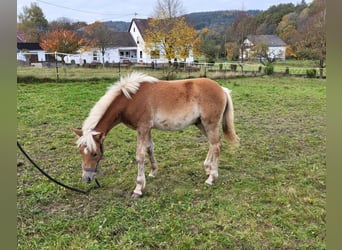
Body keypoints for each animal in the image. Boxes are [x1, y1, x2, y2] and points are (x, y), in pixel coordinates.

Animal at [73, 72, 238, 197]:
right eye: (80, 152)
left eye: (95, 153)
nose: (87, 178)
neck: (130, 99)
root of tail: (222, 89)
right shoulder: (147, 129)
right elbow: (149, 148)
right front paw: (153, 172)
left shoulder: (143, 128)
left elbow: (140, 156)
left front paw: (138, 188)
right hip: (200, 124)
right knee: (213, 144)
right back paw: (207, 168)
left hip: (210, 124)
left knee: (216, 145)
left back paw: (212, 177)